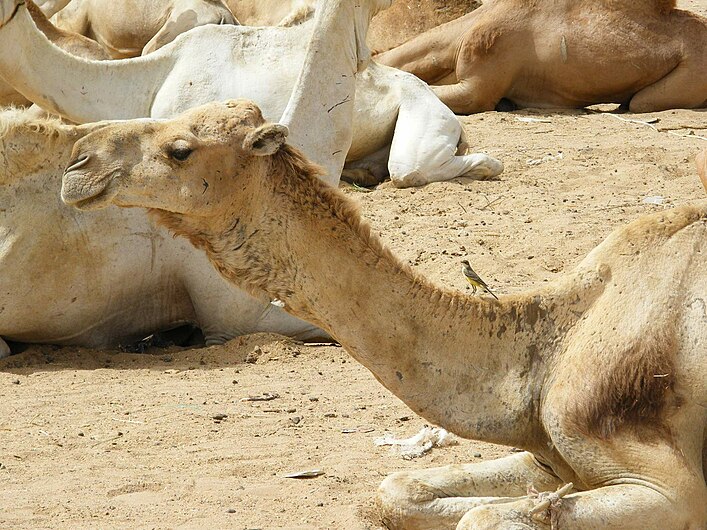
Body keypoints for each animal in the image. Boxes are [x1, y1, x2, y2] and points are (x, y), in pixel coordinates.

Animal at [60, 99, 707, 528]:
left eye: (180, 149)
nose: (76, 161)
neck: (549, 342)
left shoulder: (666, 484)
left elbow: (485, 519)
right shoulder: (545, 452)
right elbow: (397, 490)